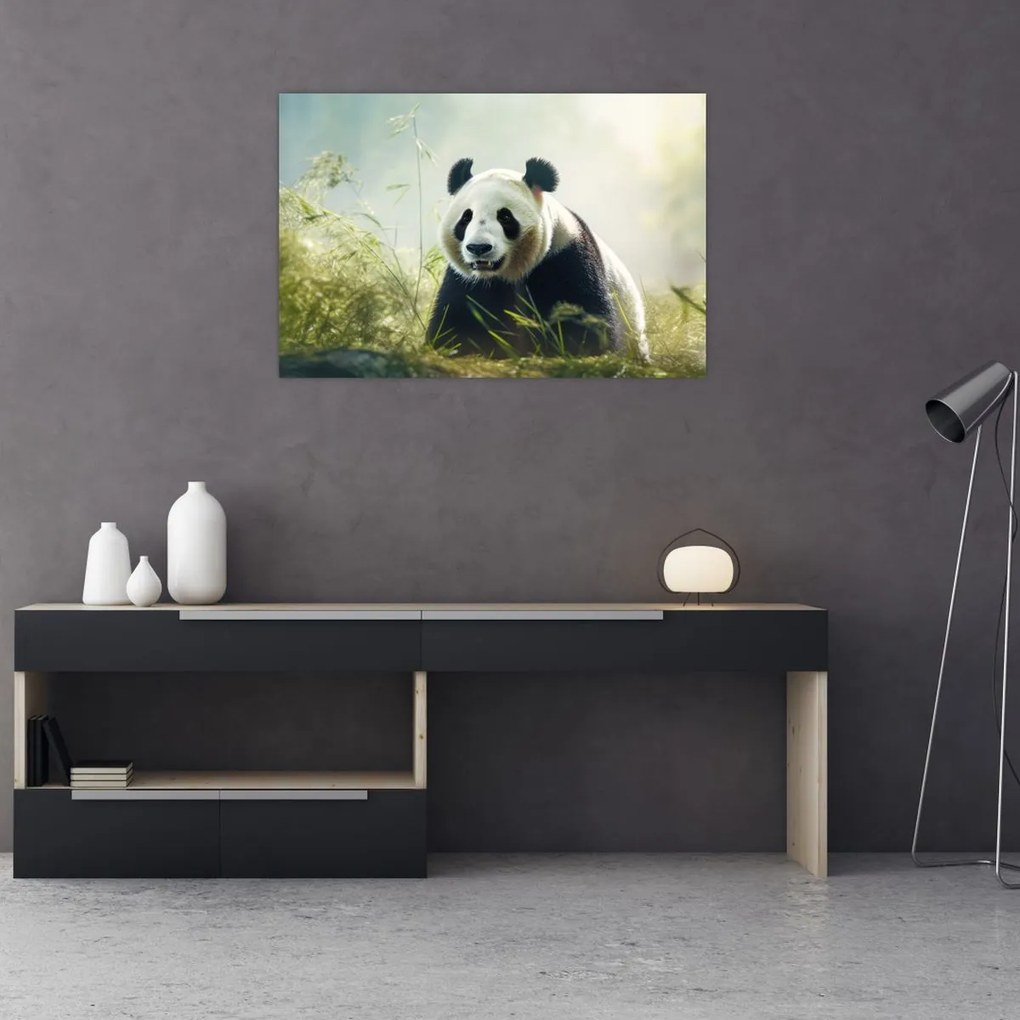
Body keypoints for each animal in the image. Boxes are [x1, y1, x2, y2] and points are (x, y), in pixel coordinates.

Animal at [426, 157, 648, 360]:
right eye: (466, 217)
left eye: (505, 217)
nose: (478, 248)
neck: (508, 273)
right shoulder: (466, 281)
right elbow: (455, 321)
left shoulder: (566, 259)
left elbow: (584, 320)